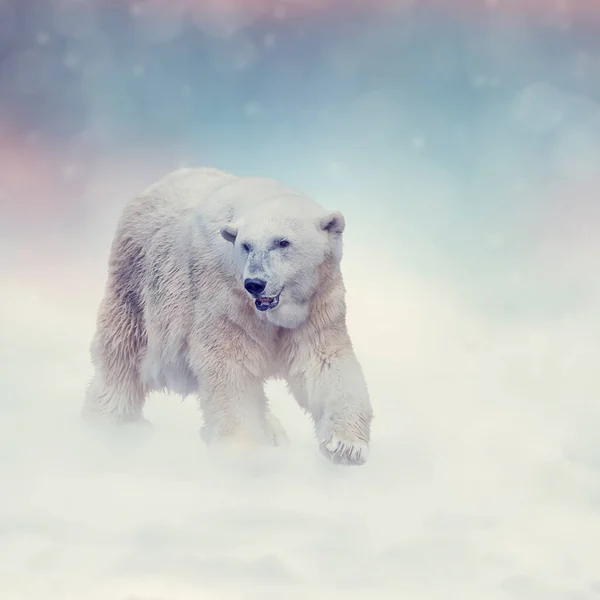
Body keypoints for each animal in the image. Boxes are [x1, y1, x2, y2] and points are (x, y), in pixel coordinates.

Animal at [83, 166, 376, 466]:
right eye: (246, 246)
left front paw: (346, 446)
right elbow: (230, 365)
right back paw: (112, 423)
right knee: (123, 346)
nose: (255, 283)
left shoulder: (318, 303)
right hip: (138, 279)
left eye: (283, 242)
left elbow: (324, 361)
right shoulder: (224, 296)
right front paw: (245, 451)